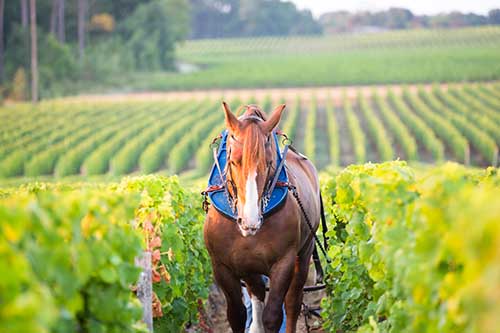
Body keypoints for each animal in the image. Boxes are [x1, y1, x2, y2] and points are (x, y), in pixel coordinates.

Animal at [203, 102, 320, 332]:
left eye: (268, 162)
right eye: (233, 161)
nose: (250, 221)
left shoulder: (283, 262)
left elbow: (273, 315)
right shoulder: (222, 266)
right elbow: (237, 315)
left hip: (304, 251)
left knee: (292, 302)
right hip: (250, 266)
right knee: (256, 296)